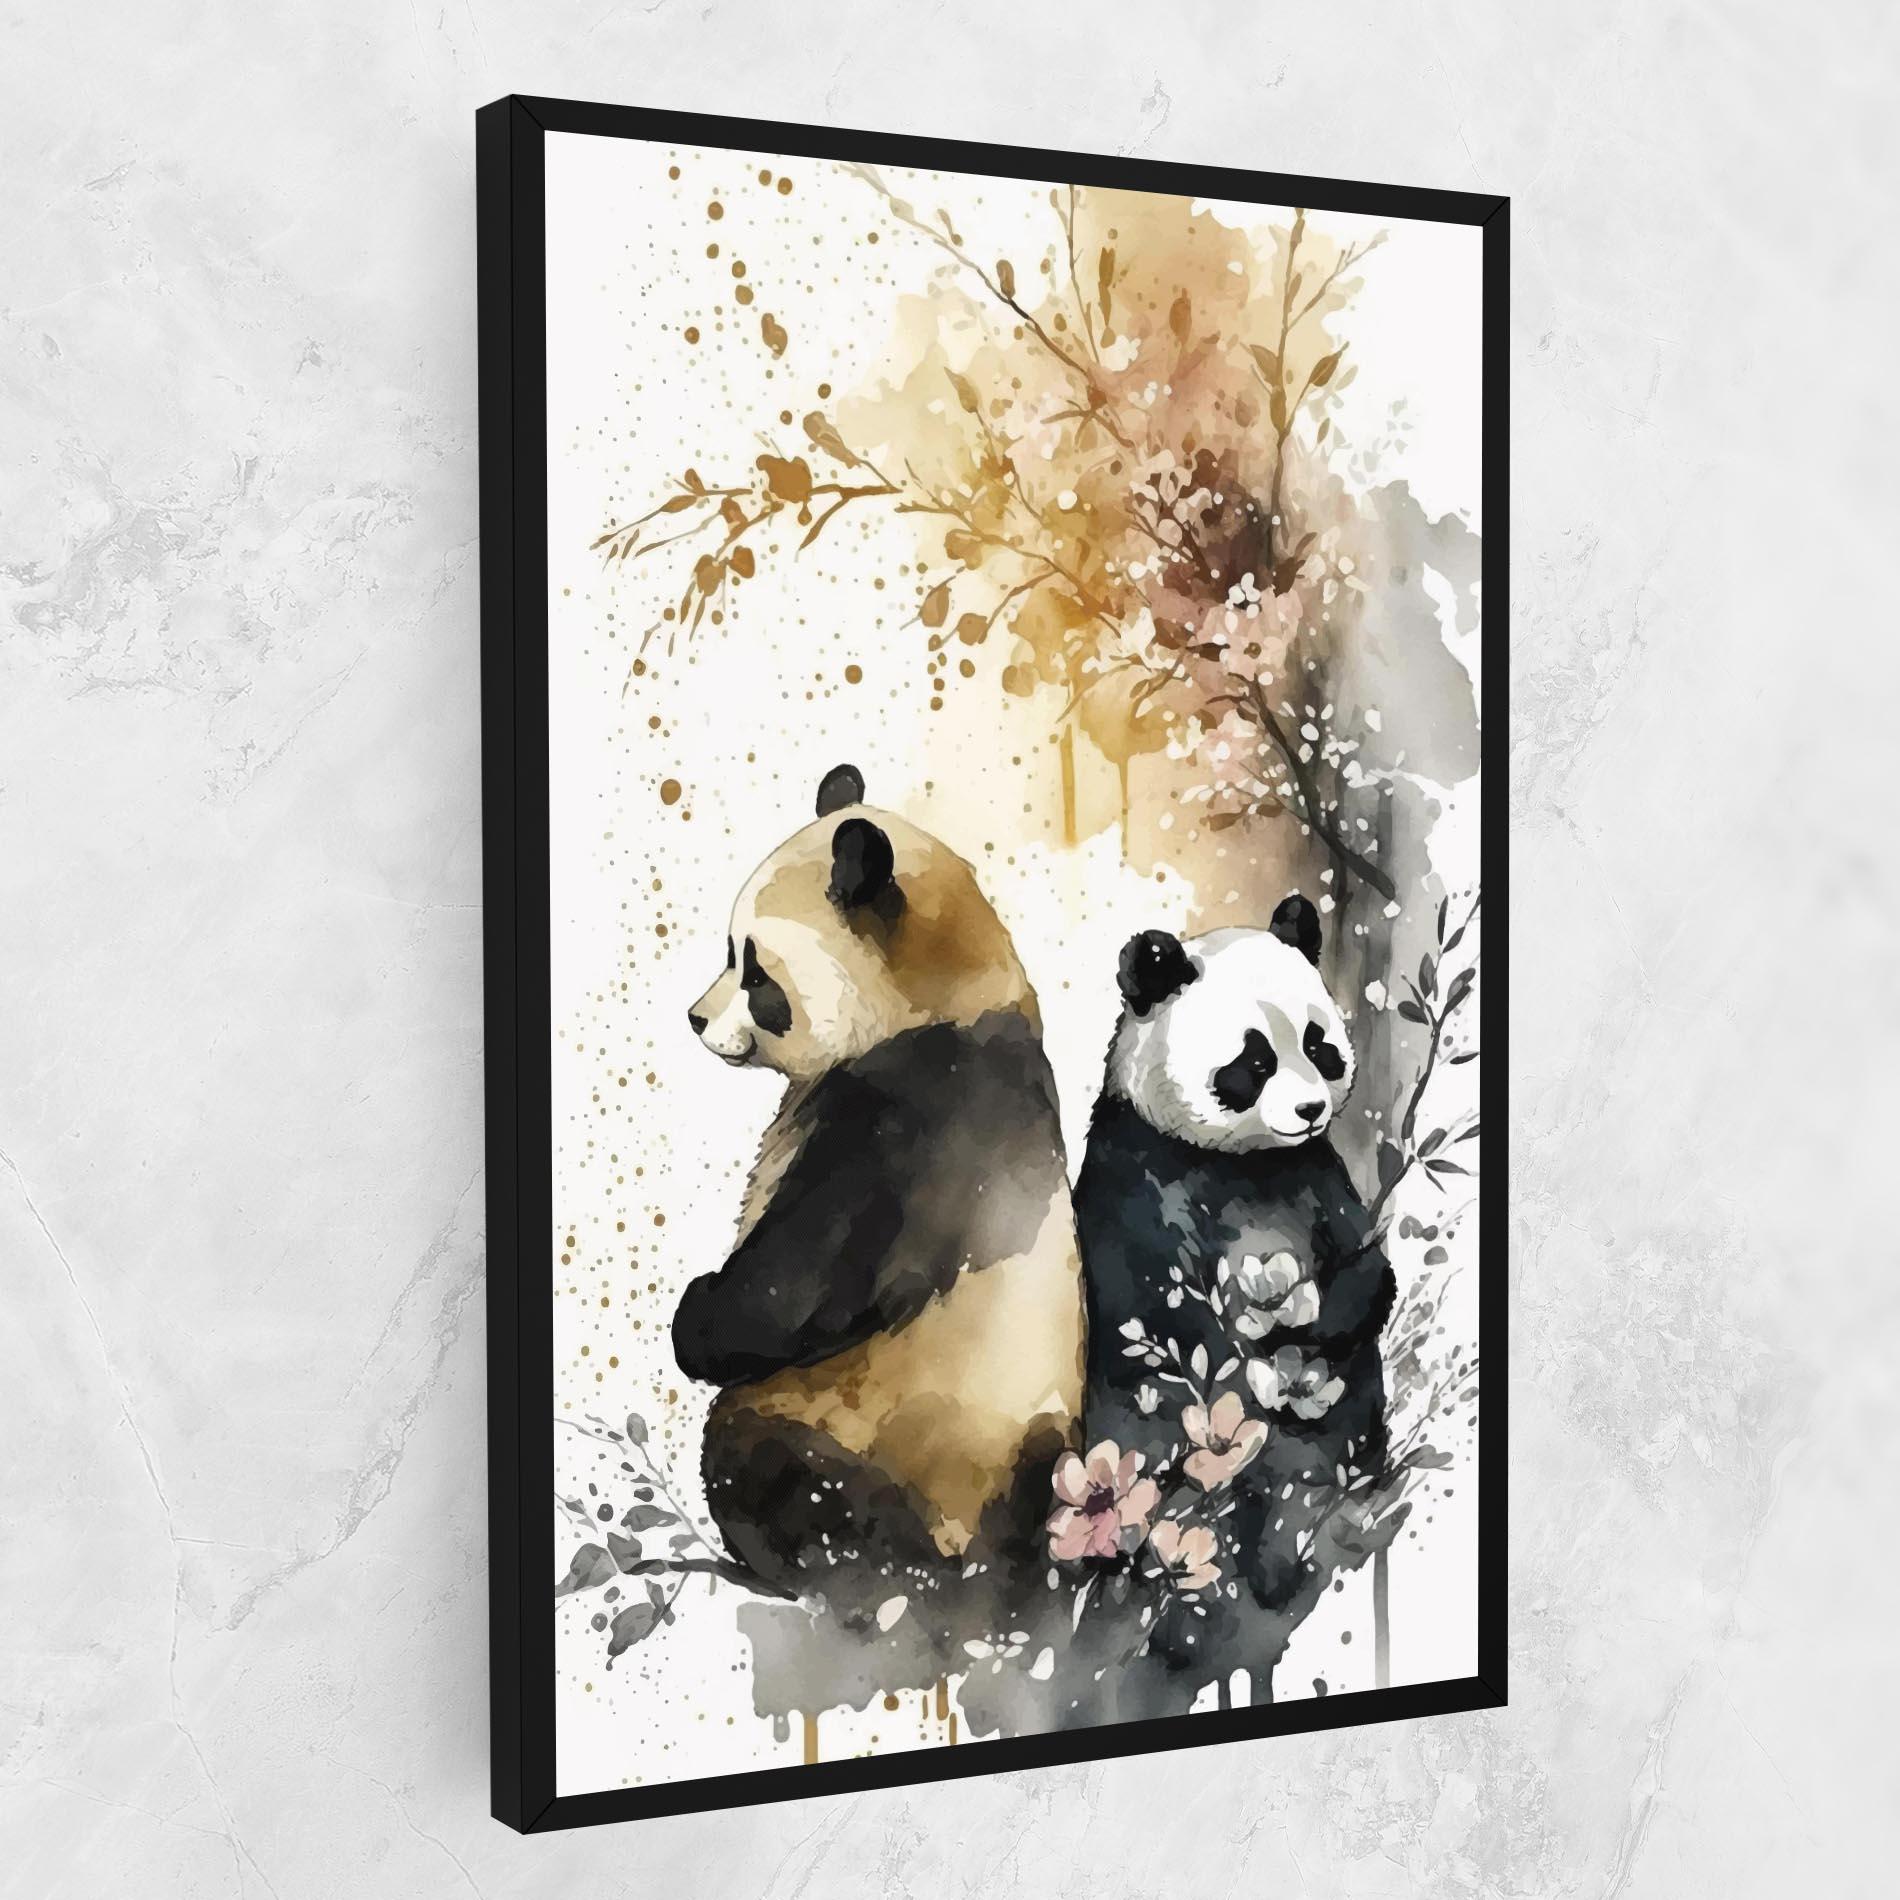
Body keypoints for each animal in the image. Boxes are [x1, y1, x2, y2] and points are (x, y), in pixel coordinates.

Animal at [671, 763, 1085, 1623]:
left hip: (857, 1430)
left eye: (755, 973)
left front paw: (693, 1316)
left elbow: (803, 1281)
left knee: (773, 1470)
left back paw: (860, 1574)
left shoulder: (915, 1118)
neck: (951, 989)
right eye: (730, 951)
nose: (694, 1017)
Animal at [1073, 896, 1396, 1674]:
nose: (1310, 1110)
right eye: (1253, 1061)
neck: (1241, 1161)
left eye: (1319, 1044)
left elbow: (1366, 1270)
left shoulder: (1312, 1173)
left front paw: (1303, 1331)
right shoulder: (1139, 1173)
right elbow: (1158, 1314)